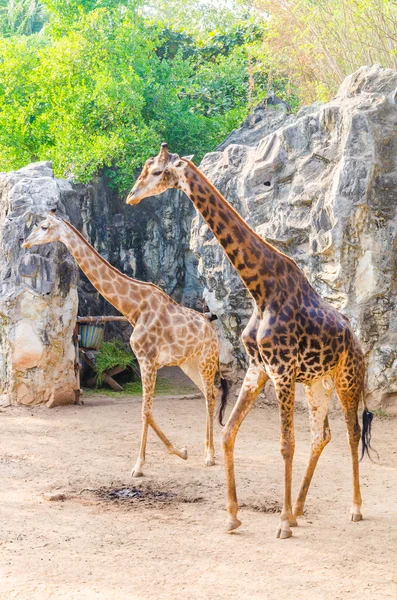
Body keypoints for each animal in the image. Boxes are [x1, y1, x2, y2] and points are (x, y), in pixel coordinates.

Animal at [125, 144, 372, 540]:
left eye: (157, 171)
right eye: (145, 169)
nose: (131, 196)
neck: (261, 289)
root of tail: (357, 341)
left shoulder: (282, 371)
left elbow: (285, 445)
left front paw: (282, 524)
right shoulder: (260, 368)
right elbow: (228, 434)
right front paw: (233, 516)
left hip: (348, 378)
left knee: (351, 433)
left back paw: (354, 508)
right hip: (317, 383)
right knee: (322, 435)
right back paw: (300, 508)